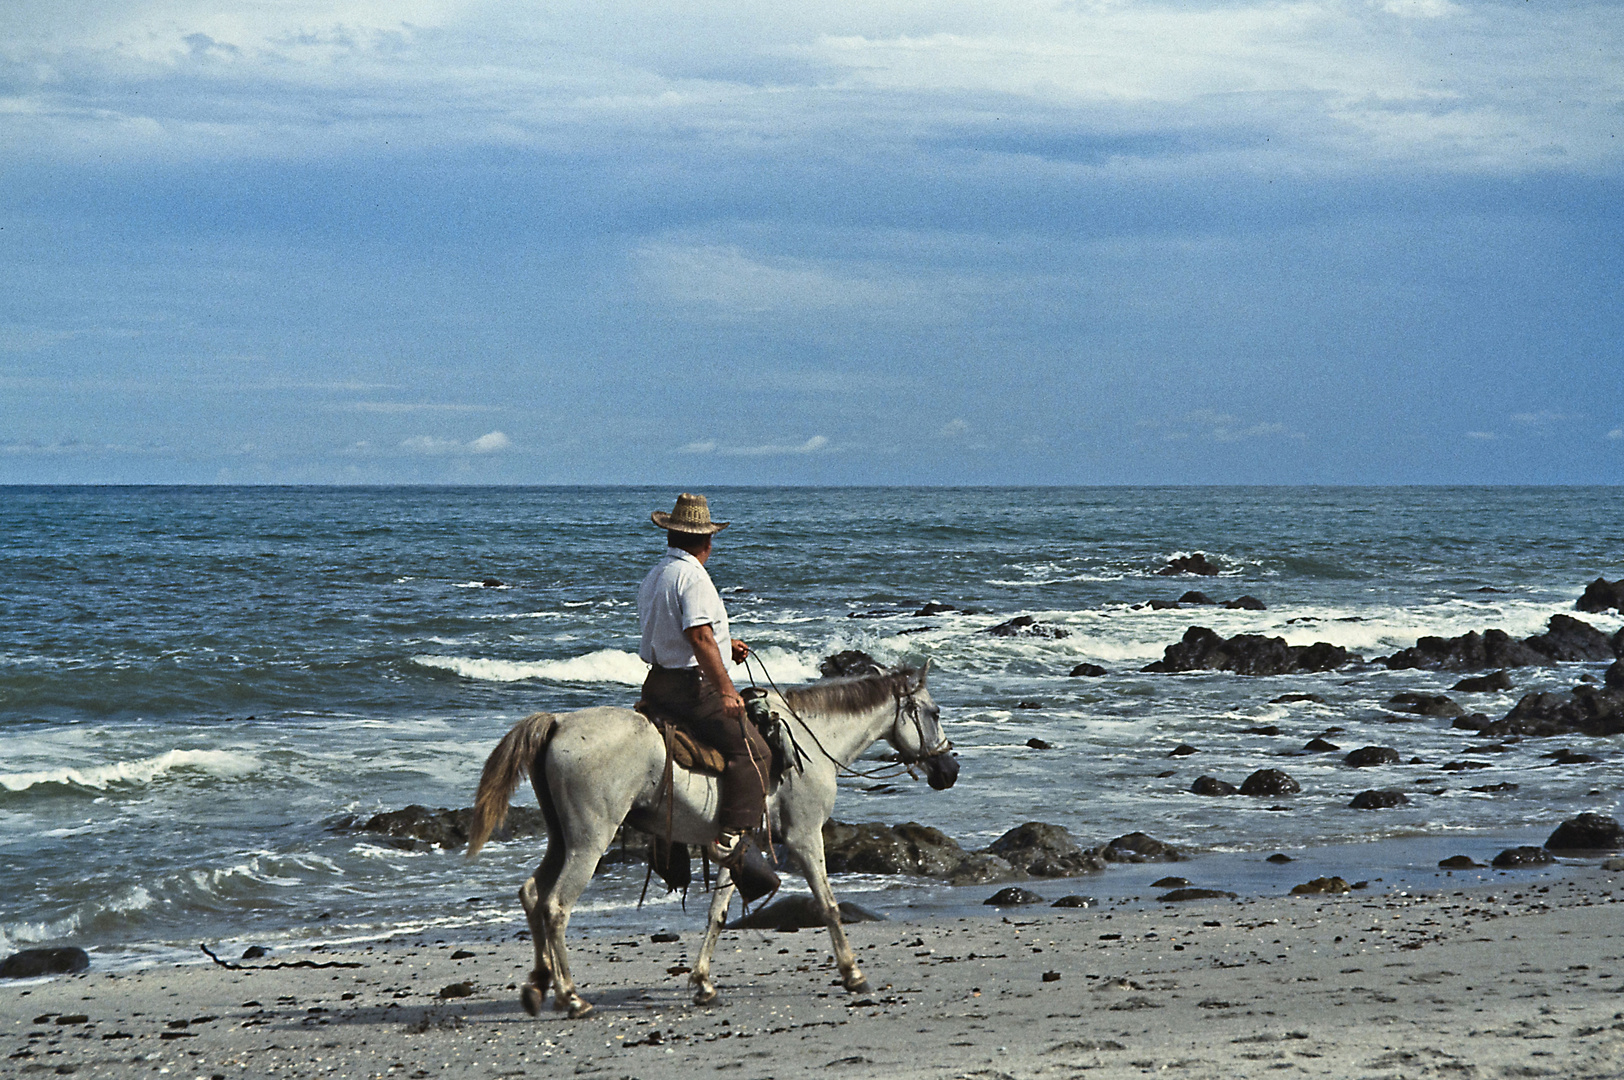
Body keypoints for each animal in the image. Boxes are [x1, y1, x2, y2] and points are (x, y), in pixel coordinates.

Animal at [467, 662, 948, 1013]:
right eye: (934, 712)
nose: (950, 769)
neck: (810, 738)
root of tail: (559, 723)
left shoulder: (735, 843)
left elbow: (718, 914)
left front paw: (702, 982)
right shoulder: (805, 835)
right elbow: (828, 905)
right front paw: (853, 974)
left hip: (561, 839)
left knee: (532, 893)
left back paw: (538, 984)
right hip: (588, 842)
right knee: (555, 906)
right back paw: (571, 997)